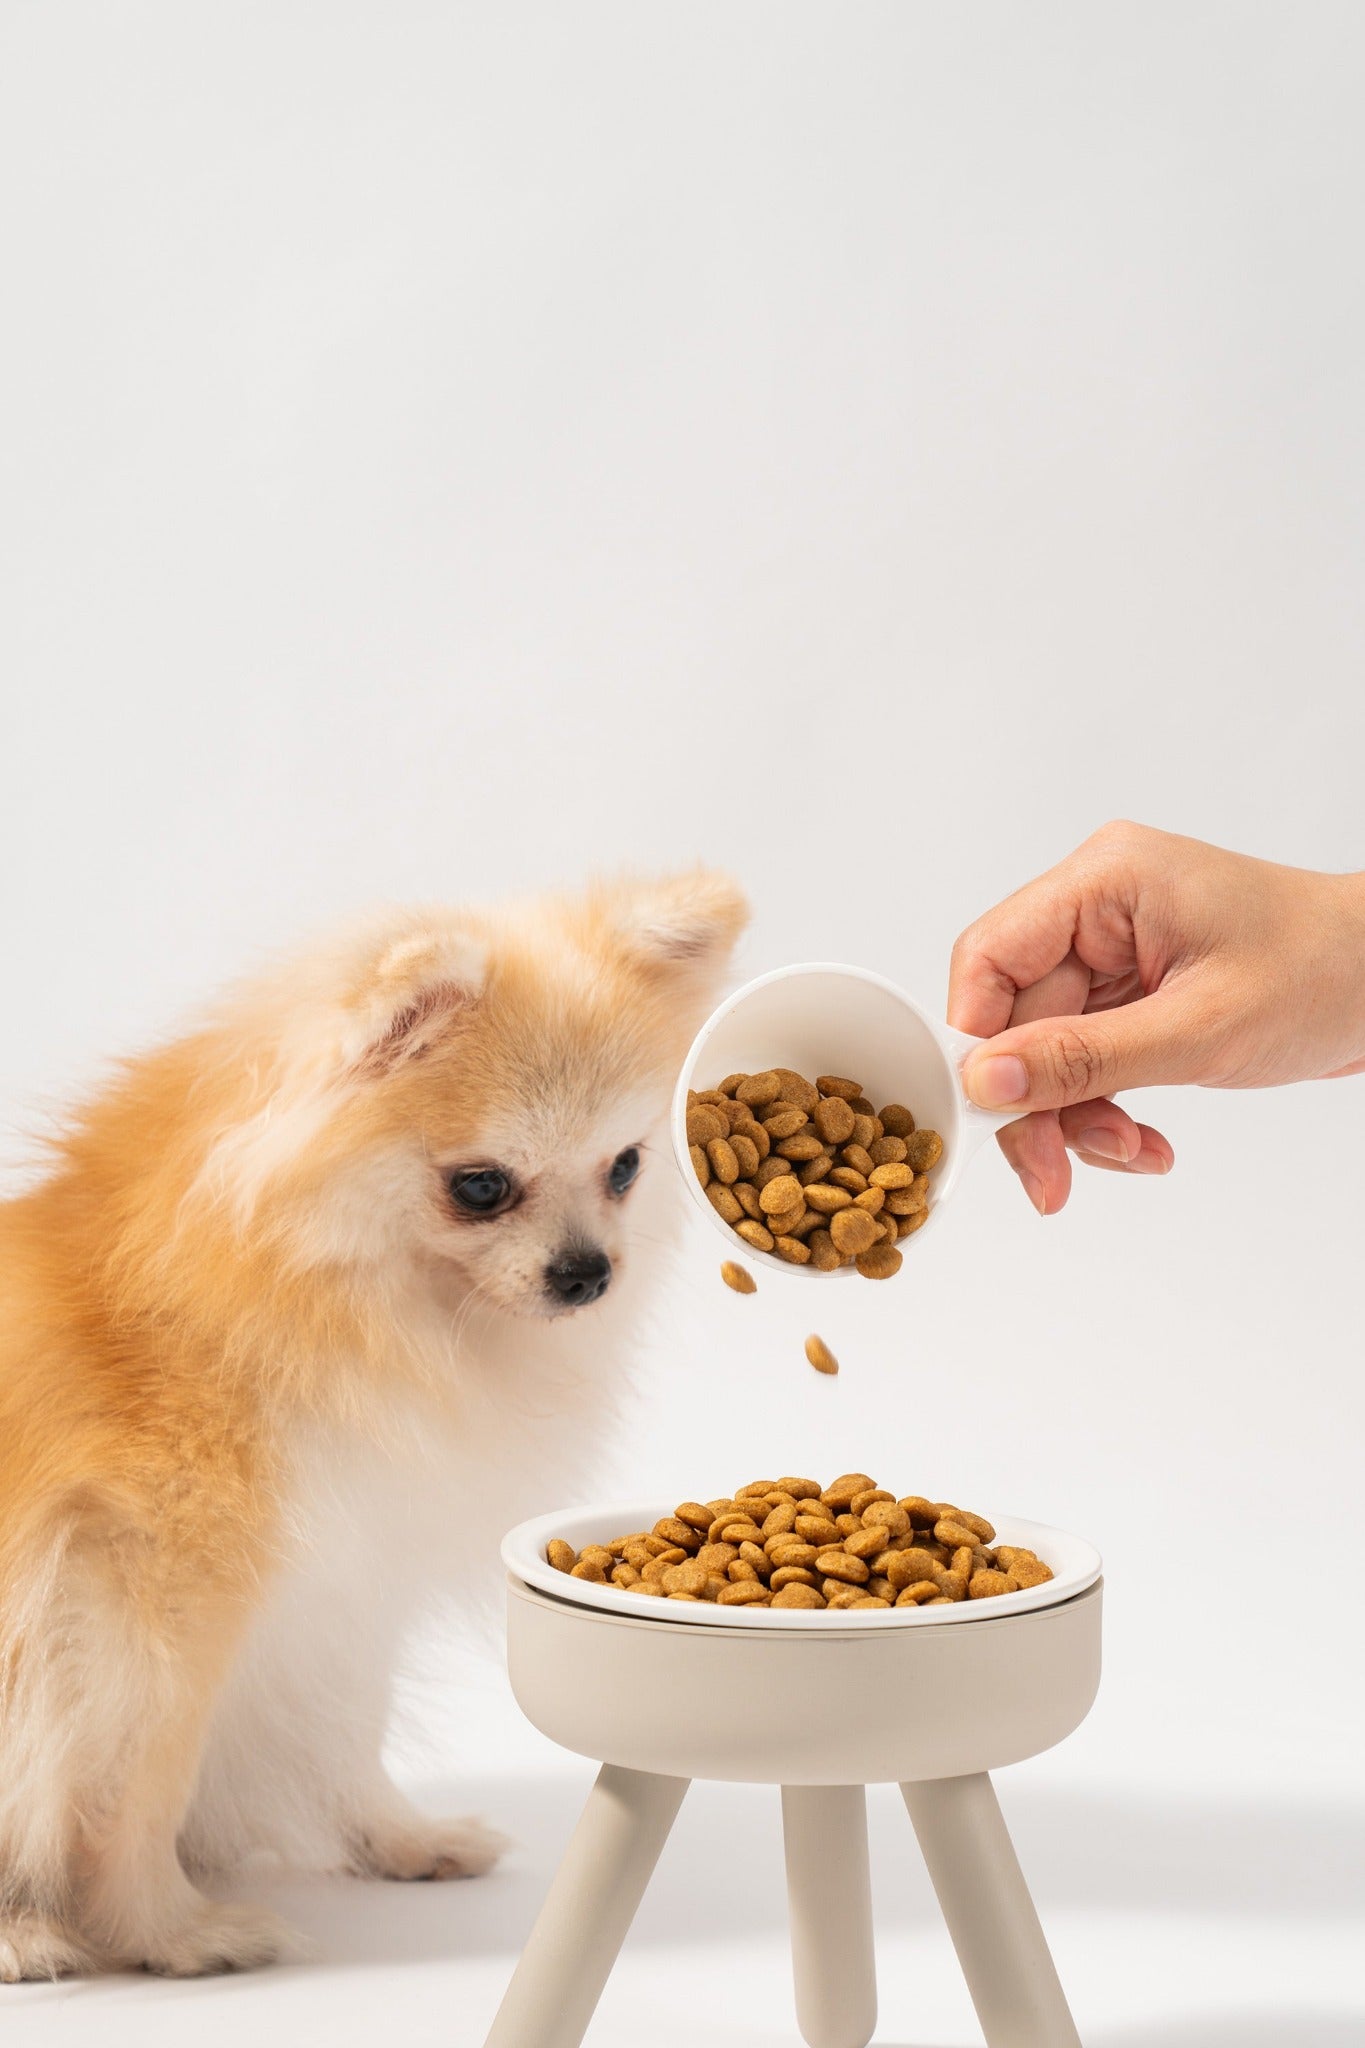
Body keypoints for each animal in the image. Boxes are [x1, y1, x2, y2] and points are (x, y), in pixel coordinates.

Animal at [0, 872, 749, 1974]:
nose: (587, 1272)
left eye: (624, 1166)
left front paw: (400, 1840)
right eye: (480, 1187)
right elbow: (133, 1786)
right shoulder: (147, 1602)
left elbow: (348, 1731)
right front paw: (170, 1931)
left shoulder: (344, 1579)